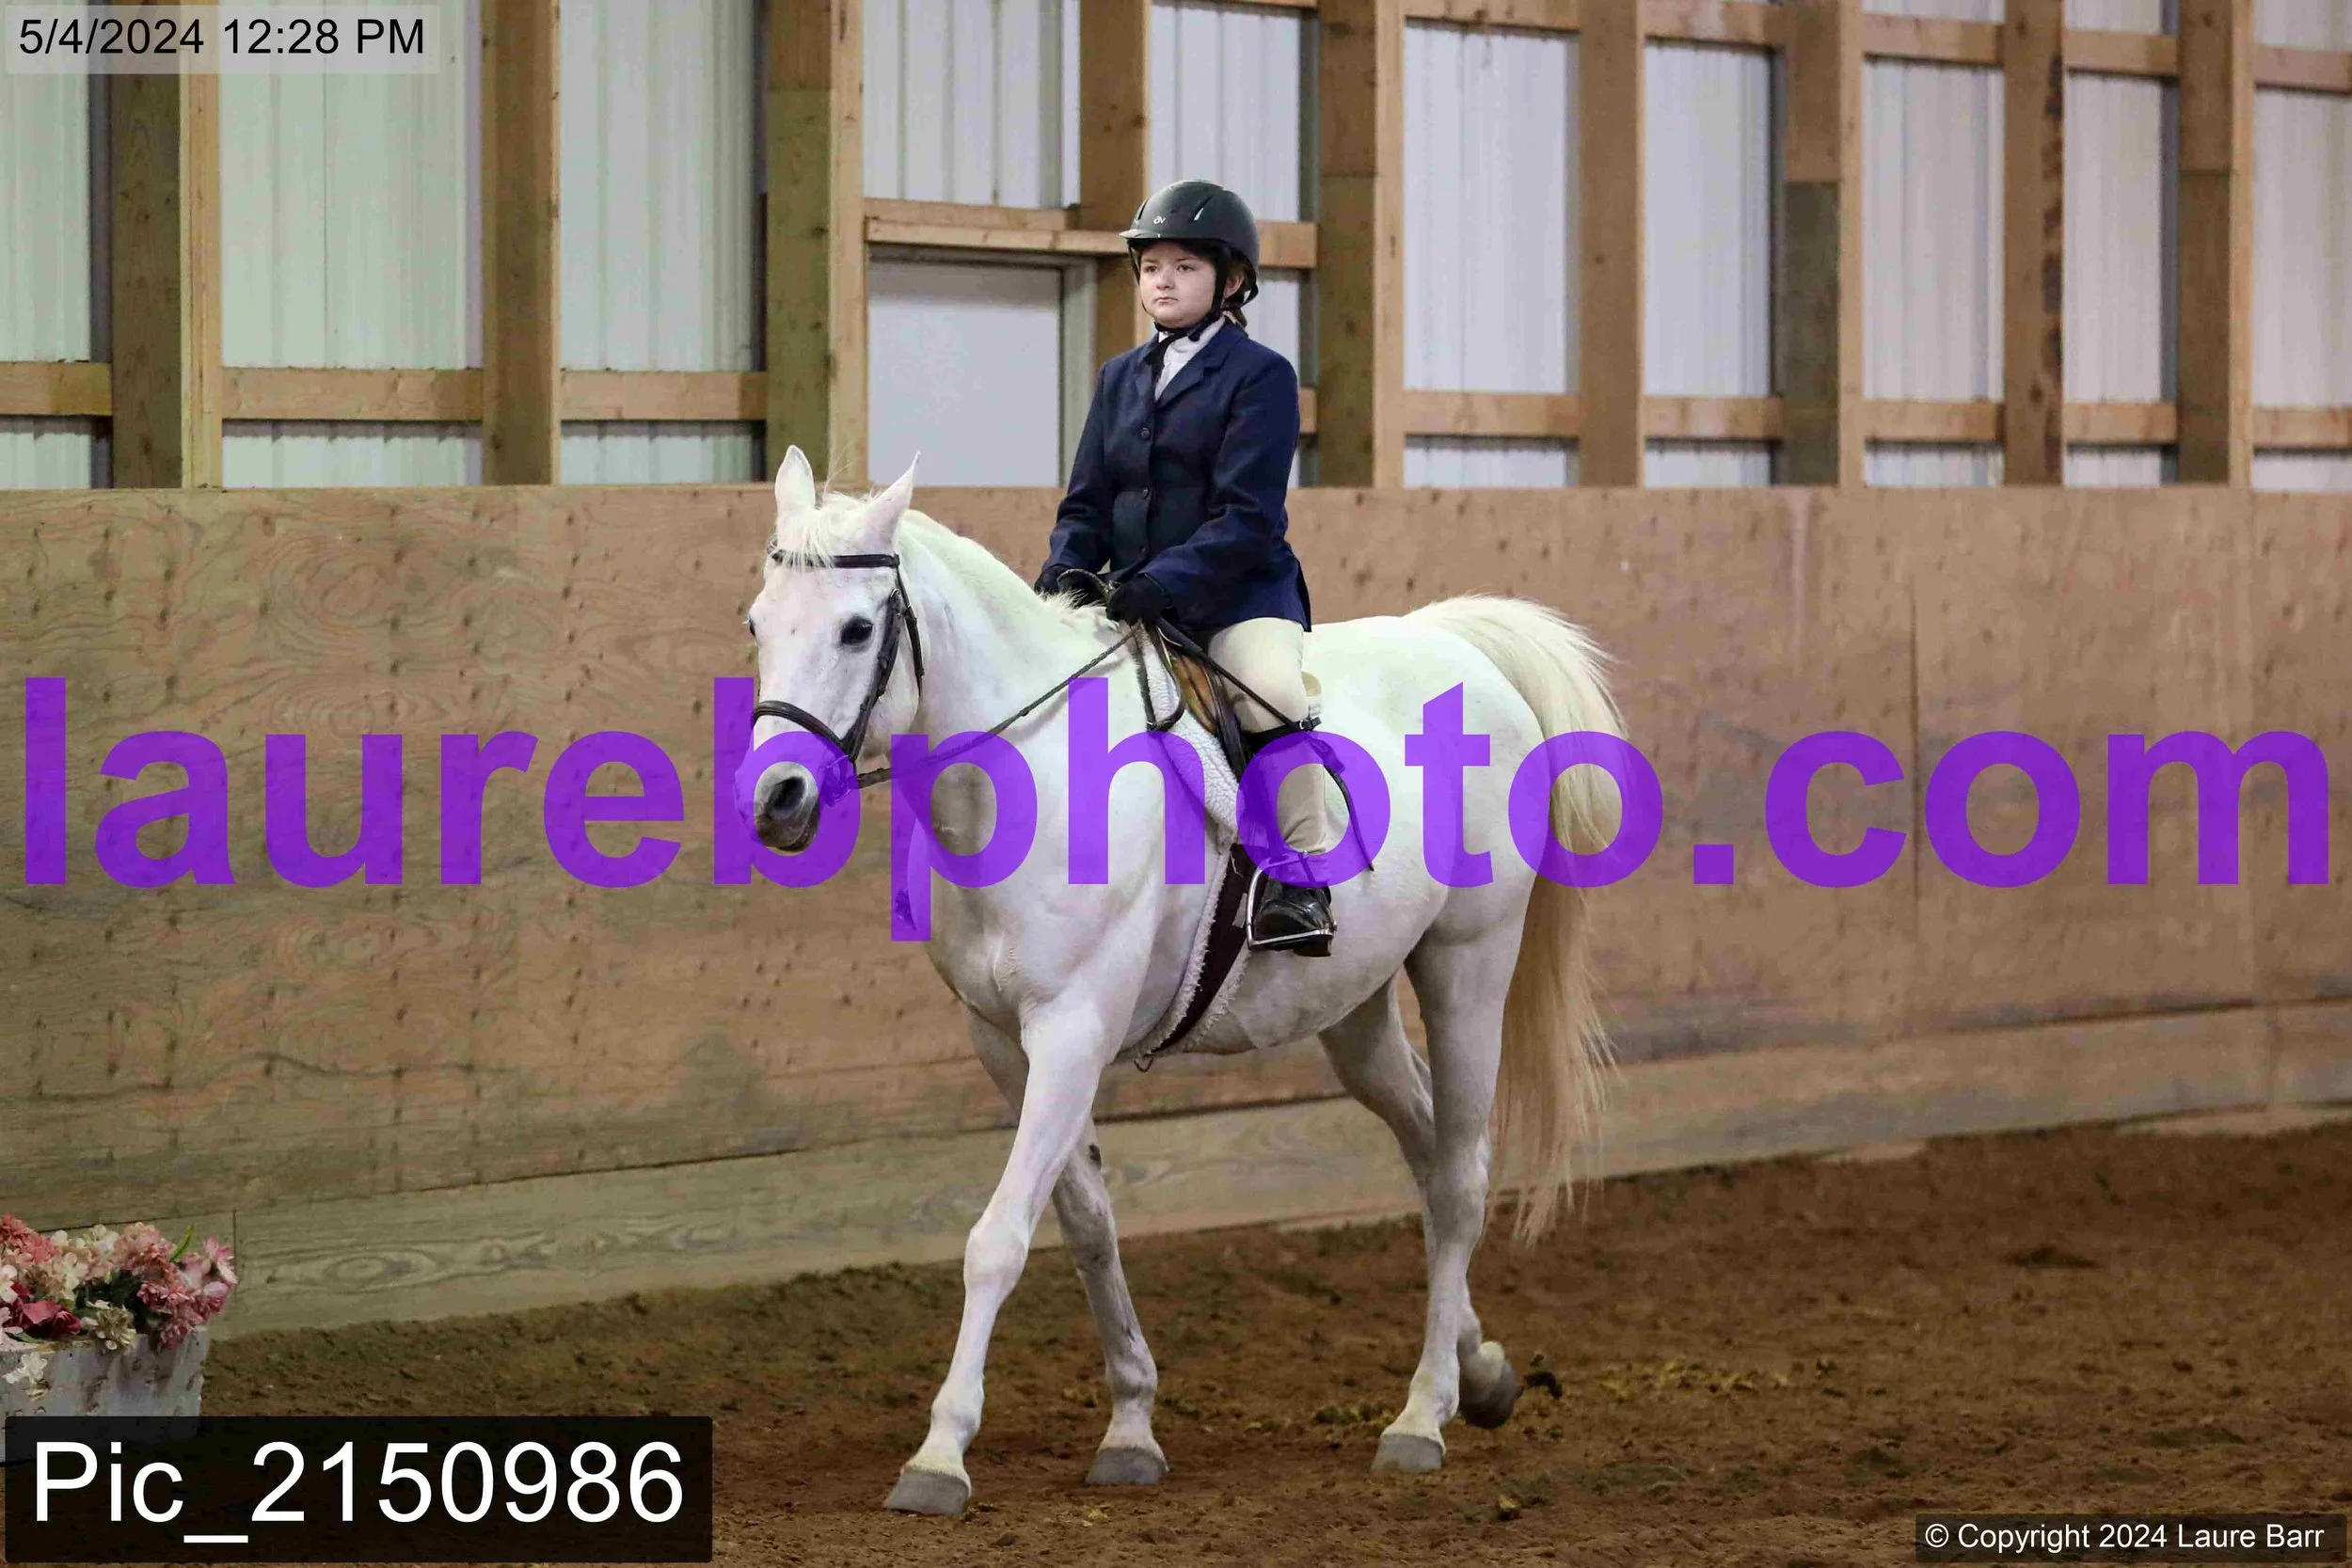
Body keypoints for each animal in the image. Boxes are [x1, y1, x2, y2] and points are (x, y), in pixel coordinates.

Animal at [737, 447, 1624, 1515]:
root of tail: (1458, 647)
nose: (774, 799)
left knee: (1456, 1175)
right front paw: (1130, 1423)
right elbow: (1085, 1223)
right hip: (1355, 1008)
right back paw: (1480, 1371)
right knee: (1426, 1147)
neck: (1027, 776)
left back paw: (1419, 1417)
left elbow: (999, 1236)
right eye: (758, 622)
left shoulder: (1071, 1030)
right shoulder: (1006, 1043)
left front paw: (939, 1455)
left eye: (857, 628)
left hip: (1467, 963)